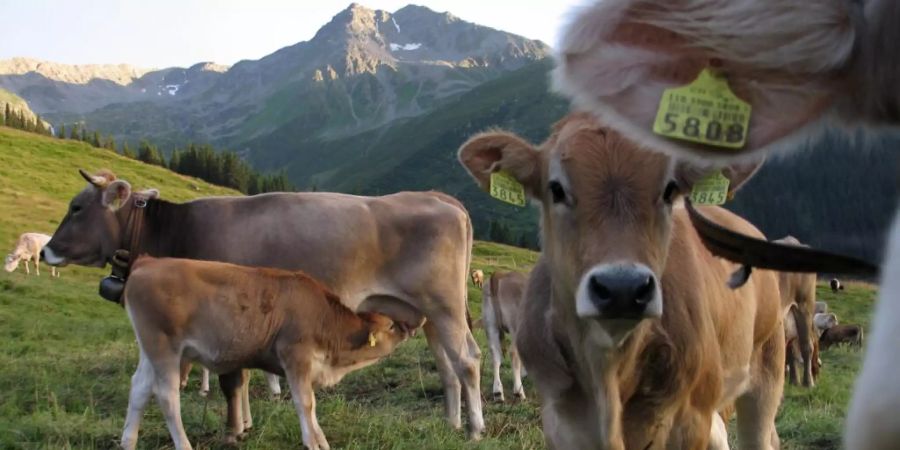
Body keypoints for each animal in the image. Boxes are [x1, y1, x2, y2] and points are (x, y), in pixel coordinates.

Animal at [118, 256, 412, 450]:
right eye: (390, 325)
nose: (408, 327)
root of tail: (149, 262)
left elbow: (311, 405)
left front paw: (321, 440)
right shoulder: (295, 356)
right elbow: (305, 403)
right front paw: (313, 442)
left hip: (150, 351)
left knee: (139, 388)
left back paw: (128, 441)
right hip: (164, 348)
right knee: (167, 397)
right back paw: (183, 444)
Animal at [482, 270, 532, 400]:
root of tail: (501, 274)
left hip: (490, 325)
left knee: (495, 354)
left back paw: (498, 392)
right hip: (515, 326)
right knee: (513, 352)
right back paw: (518, 391)